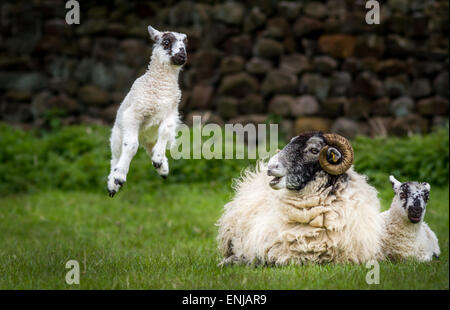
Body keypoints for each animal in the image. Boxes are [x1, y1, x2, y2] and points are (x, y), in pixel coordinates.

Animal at [107, 26, 188, 196]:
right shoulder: (134, 114)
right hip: (117, 135)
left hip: (156, 136)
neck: (161, 85)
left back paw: (162, 166)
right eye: (166, 42)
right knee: (115, 157)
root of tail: (144, 137)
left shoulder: (171, 113)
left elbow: (164, 131)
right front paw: (119, 177)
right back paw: (112, 184)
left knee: (153, 146)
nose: (182, 56)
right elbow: (131, 146)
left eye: (185, 44)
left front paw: (159, 160)